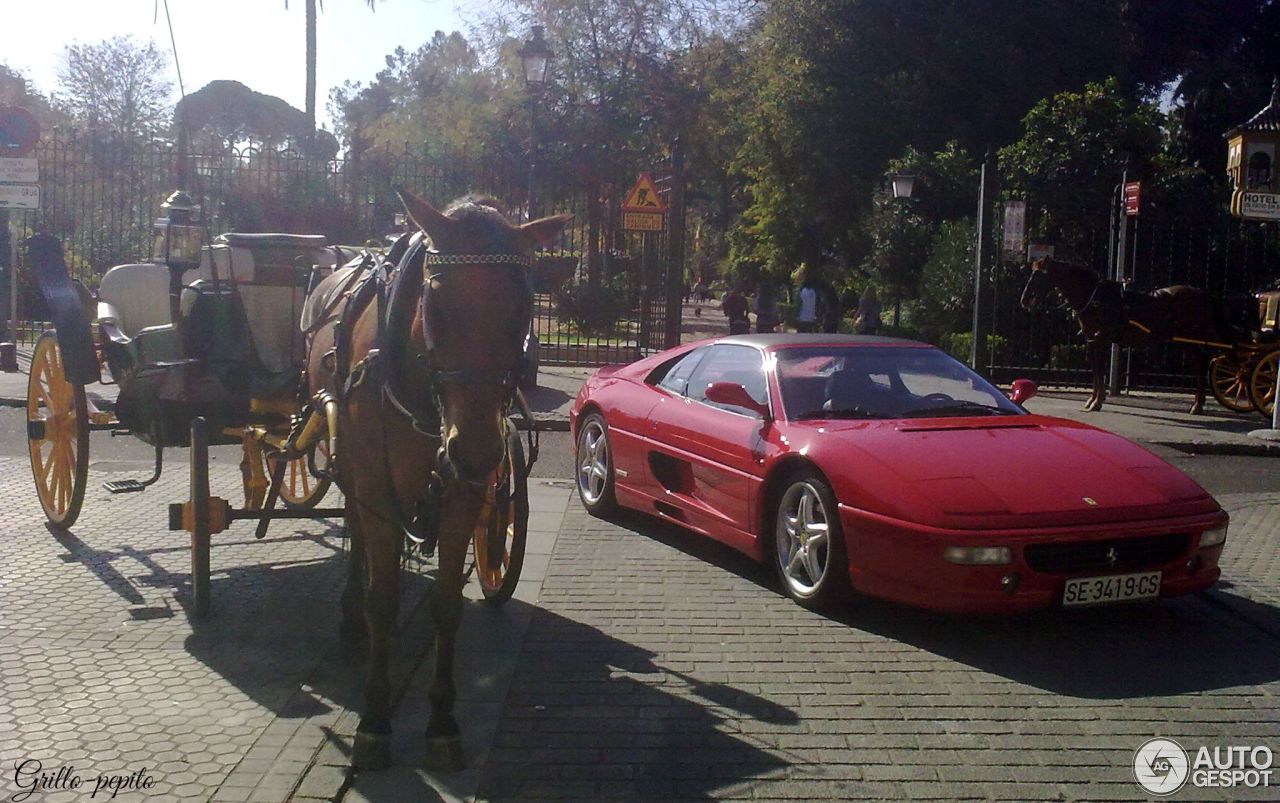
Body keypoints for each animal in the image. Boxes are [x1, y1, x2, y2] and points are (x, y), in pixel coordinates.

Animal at [302, 189, 568, 773]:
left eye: (523, 309)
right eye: (437, 306)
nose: (478, 450)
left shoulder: (465, 495)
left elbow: (447, 602)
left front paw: (443, 721)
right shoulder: (377, 488)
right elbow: (381, 593)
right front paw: (375, 719)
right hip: (354, 468)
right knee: (358, 538)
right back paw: (355, 622)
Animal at [1018, 258, 1228, 414]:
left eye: (1040, 275)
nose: (1025, 299)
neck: (1096, 298)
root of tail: (1202, 294)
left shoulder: (1101, 339)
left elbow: (1099, 371)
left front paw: (1096, 402)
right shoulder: (1092, 340)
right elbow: (1096, 371)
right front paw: (1093, 399)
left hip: (1190, 340)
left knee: (1200, 365)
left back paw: (1197, 405)